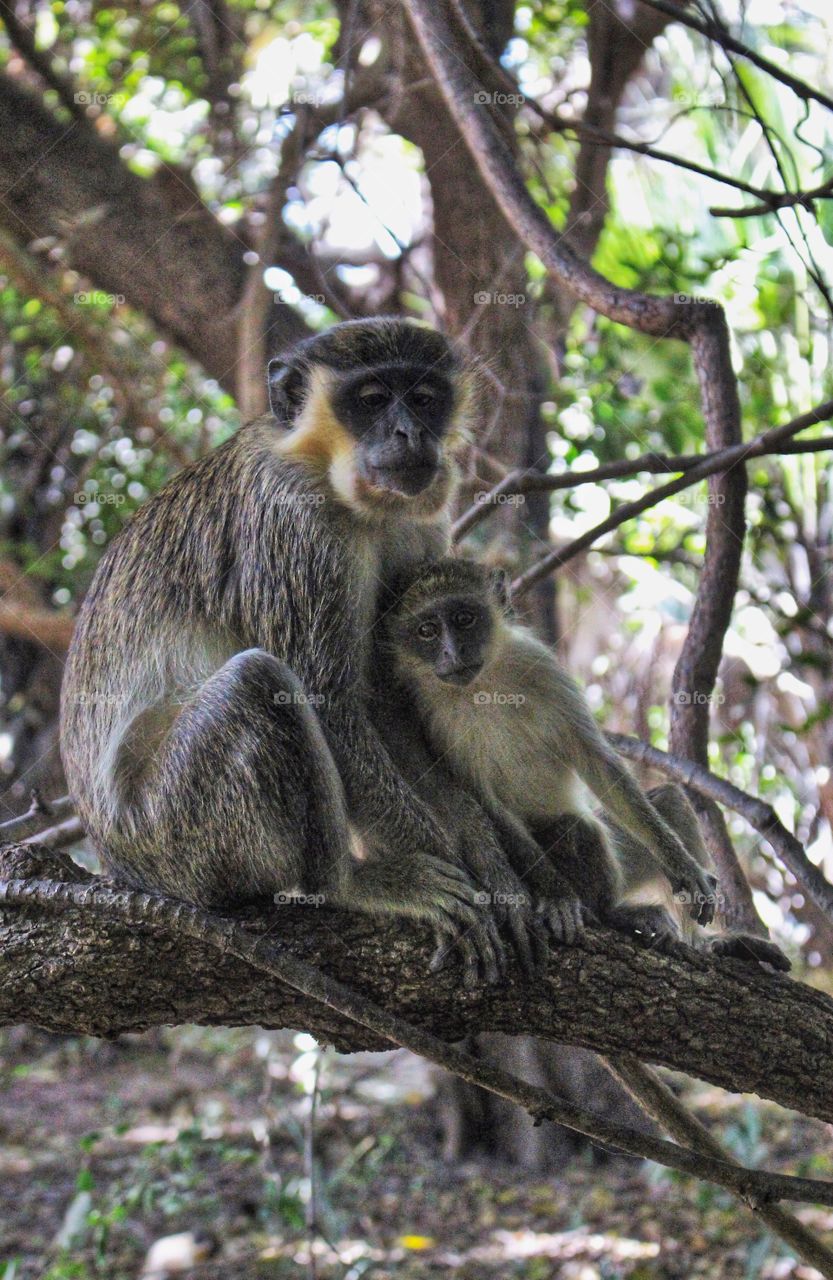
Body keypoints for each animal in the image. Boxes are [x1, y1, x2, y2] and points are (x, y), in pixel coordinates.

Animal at [58, 317, 552, 967]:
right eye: (371, 399)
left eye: (424, 398)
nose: (409, 432)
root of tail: (121, 865)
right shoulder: (294, 522)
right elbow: (328, 700)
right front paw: (445, 868)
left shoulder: (417, 526)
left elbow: (388, 699)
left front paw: (492, 863)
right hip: (173, 837)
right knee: (256, 684)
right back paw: (347, 884)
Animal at [381, 560, 793, 967]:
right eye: (427, 631)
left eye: (464, 618)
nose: (451, 655)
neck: (483, 684)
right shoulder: (428, 712)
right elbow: (485, 802)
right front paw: (558, 897)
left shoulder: (542, 667)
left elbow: (599, 763)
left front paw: (684, 866)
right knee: (575, 830)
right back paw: (614, 914)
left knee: (663, 802)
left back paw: (706, 942)